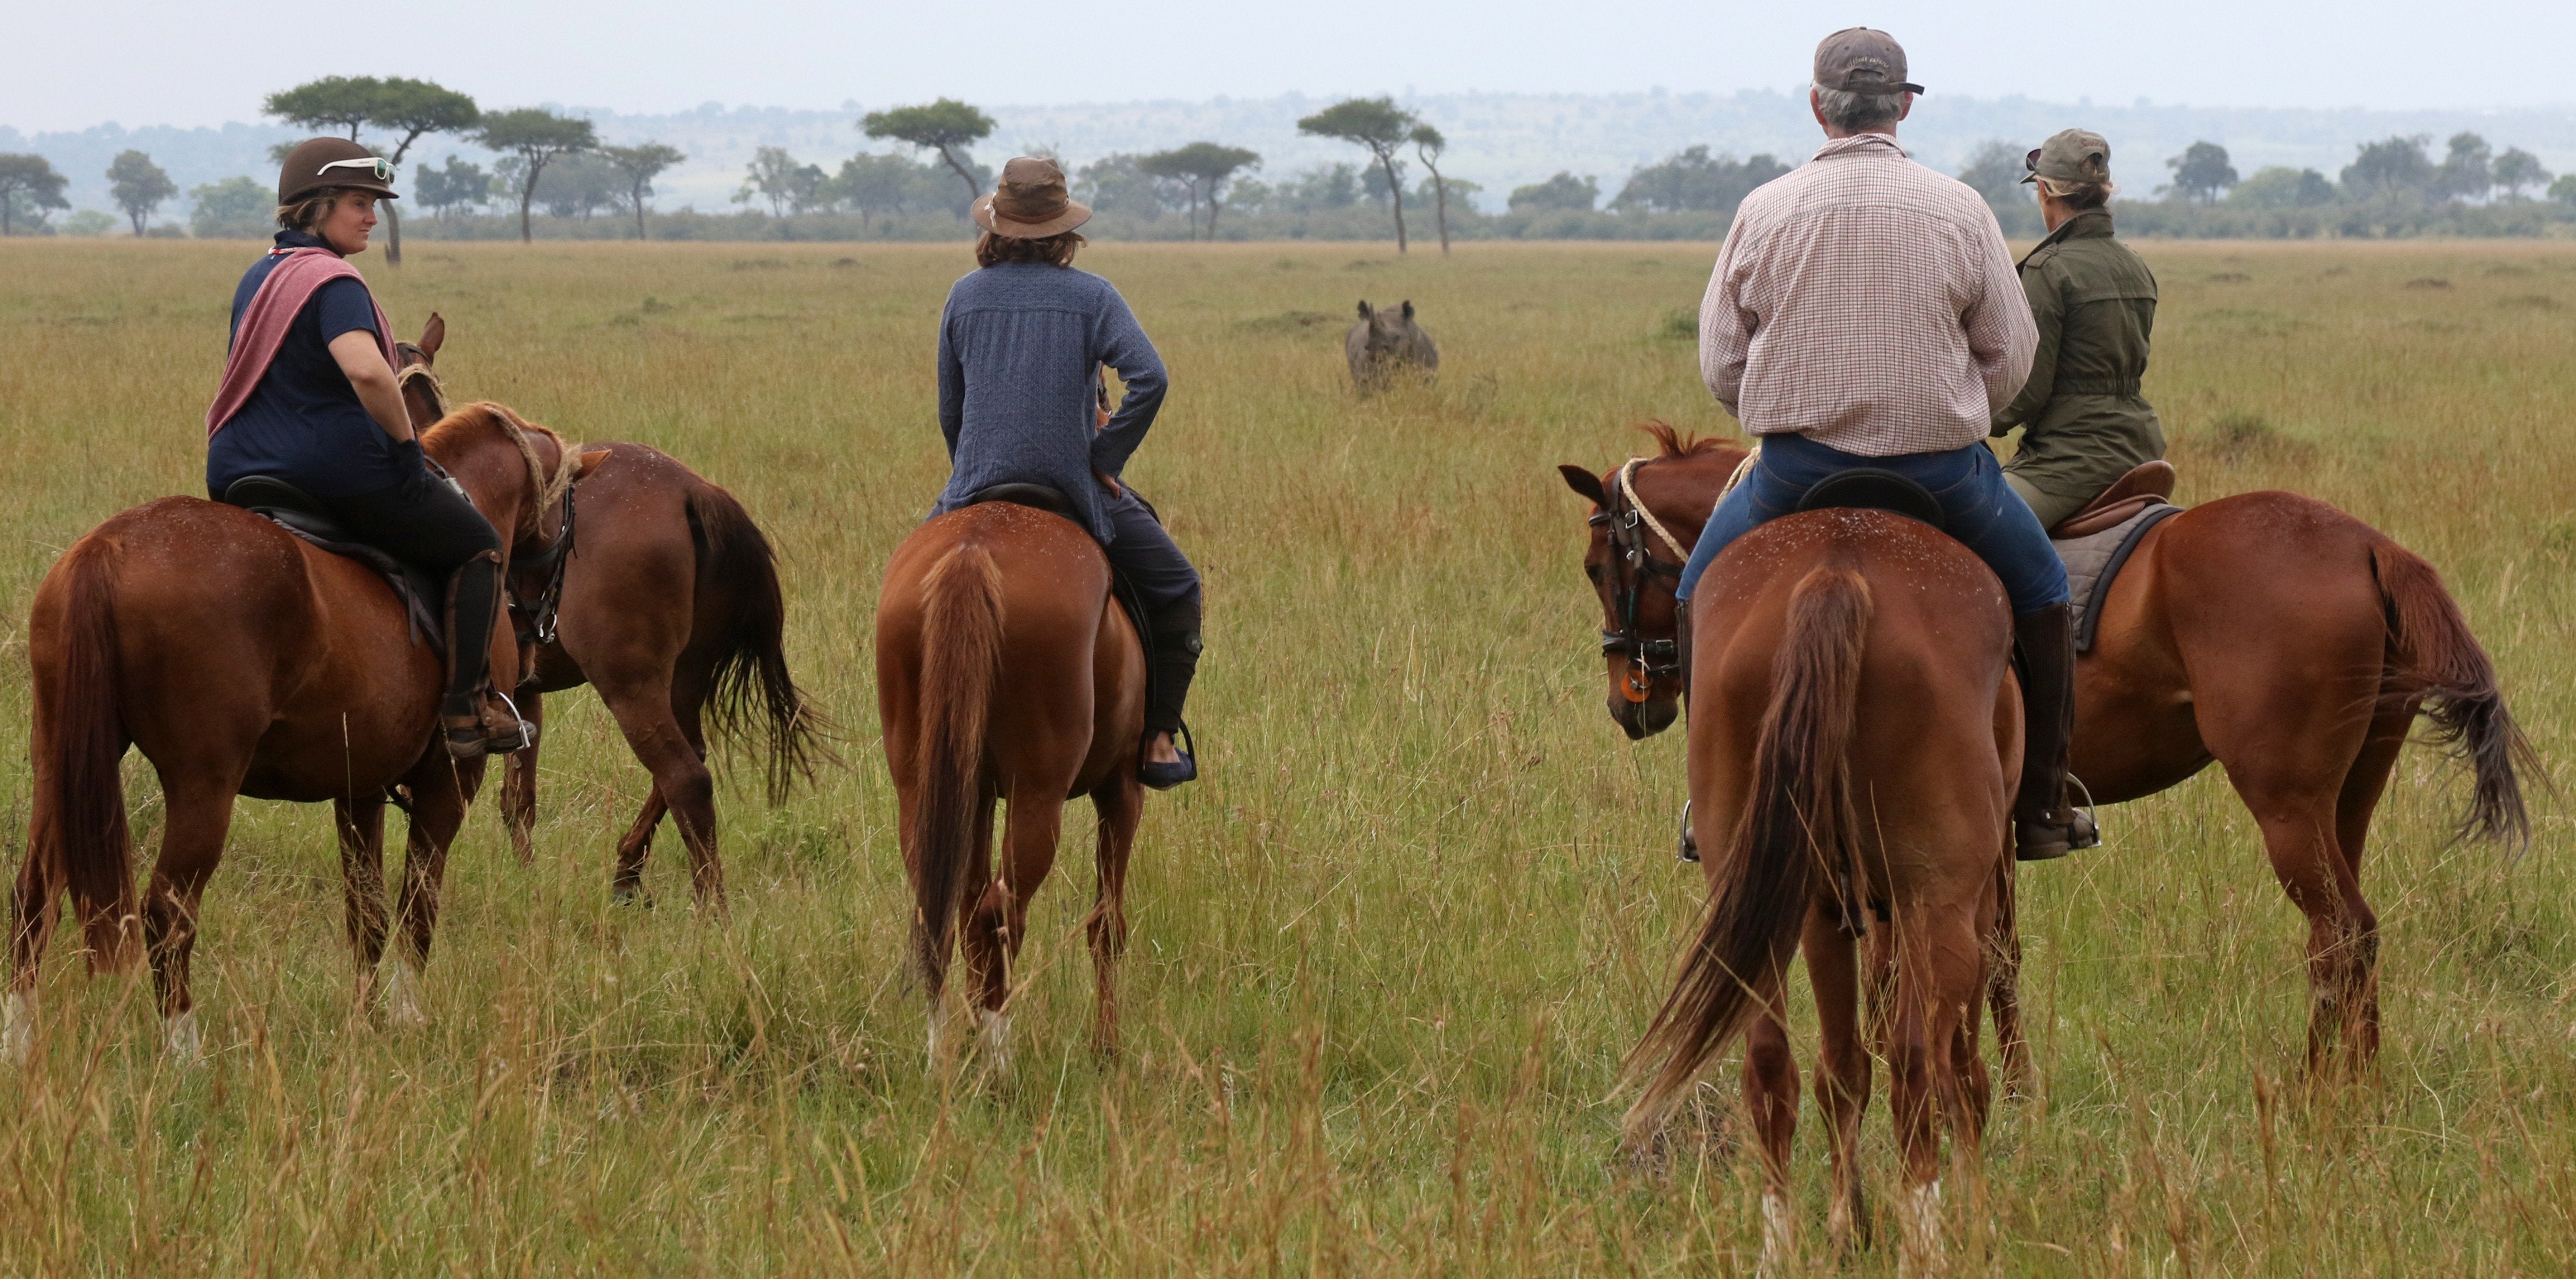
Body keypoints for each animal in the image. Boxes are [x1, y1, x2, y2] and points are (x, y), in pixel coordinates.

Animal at [7, 404, 582, 1060]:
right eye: (570, 517)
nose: (540, 634)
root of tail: (112, 545)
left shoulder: (360, 790)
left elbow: (367, 912)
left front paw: (366, 1019)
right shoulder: (450, 783)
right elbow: (418, 904)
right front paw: (408, 1014)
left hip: (59, 767)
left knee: (32, 899)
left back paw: (17, 1043)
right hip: (204, 788)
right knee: (167, 913)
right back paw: (185, 1053)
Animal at [391, 316, 824, 905]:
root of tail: (695, 492)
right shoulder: (522, 693)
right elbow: (519, 798)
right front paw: (526, 877)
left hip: (630, 685)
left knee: (684, 774)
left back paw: (703, 904)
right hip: (684, 677)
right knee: (689, 758)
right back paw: (627, 871)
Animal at [876, 491, 1148, 1065]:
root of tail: (972, 551)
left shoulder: (975, 796)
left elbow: (965, 911)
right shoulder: (1122, 790)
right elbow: (1106, 925)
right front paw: (1106, 1050)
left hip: (923, 788)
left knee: (941, 917)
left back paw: (941, 1057)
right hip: (1037, 795)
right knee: (1000, 913)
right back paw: (999, 1061)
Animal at [1566, 424, 2534, 1070]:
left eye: (1598, 568)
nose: (1628, 702)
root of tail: (2368, 545)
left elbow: (1925, 963)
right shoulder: (1990, 830)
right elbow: (1993, 953)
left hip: (2286, 803)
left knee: (2342, 932)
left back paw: (2320, 1093)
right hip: (2348, 795)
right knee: (2345, 937)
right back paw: (2350, 1091)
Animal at [1628, 502, 2030, 1266]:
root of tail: (1837, 569)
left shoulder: (1822, 910)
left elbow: (1842, 1066)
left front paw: (1850, 1223)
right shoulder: (1972, 900)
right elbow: (1962, 1066)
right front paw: (1976, 1220)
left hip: (1770, 901)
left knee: (1773, 1063)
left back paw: (1779, 1245)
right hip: (1937, 905)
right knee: (1919, 1065)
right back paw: (1925, 1245)